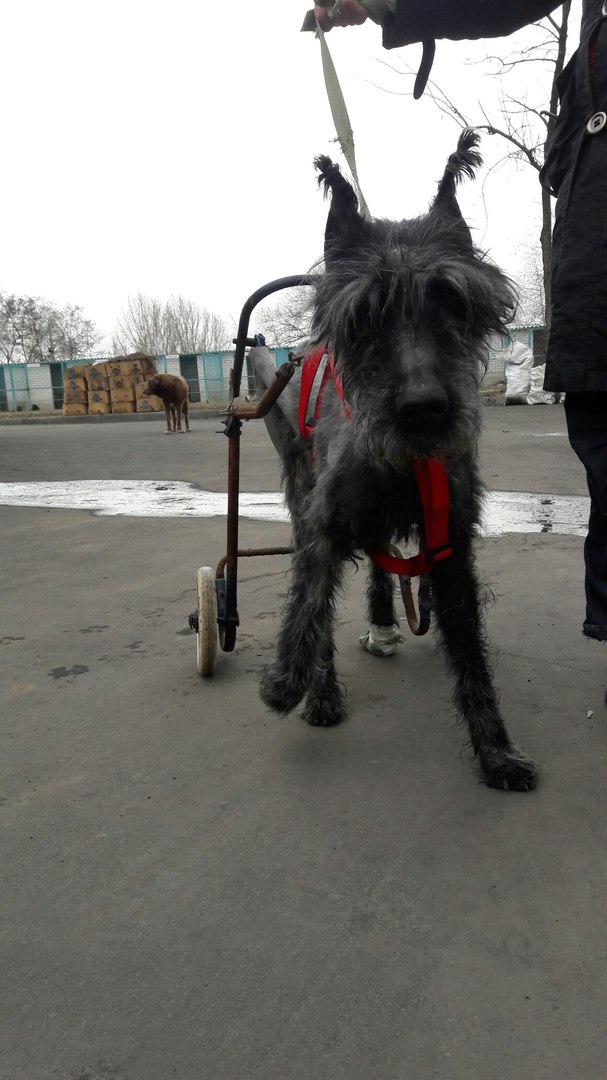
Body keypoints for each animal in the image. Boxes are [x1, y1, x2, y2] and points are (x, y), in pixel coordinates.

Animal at [258, 130, 537, 792]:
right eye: (366, 313)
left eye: (454, 302)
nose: (423, 408)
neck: (407, 463)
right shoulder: (323, 524)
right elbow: (310, 604)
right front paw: (291, 681)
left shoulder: (451, 543)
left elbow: (471, 654)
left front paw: (495, 750)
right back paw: (325, 689)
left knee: (386, 567)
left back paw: (388, 617)